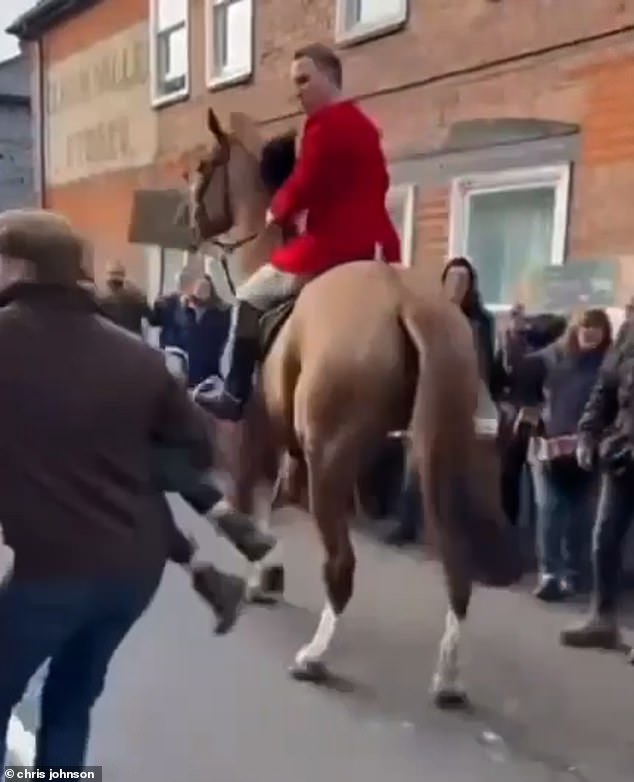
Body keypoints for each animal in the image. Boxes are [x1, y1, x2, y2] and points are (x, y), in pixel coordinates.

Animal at [185, 108, 520, 704]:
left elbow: (249, 501)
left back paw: (315, 657)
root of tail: (406, 300)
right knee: (458, 562)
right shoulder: (282, 444)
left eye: (204, 166)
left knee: (341, 565)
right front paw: (267, 574)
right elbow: (268, 503)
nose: (189, 221)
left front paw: (261, 574)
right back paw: (448, 677)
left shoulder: (252, 434)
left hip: (331, 459)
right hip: (451, 448)